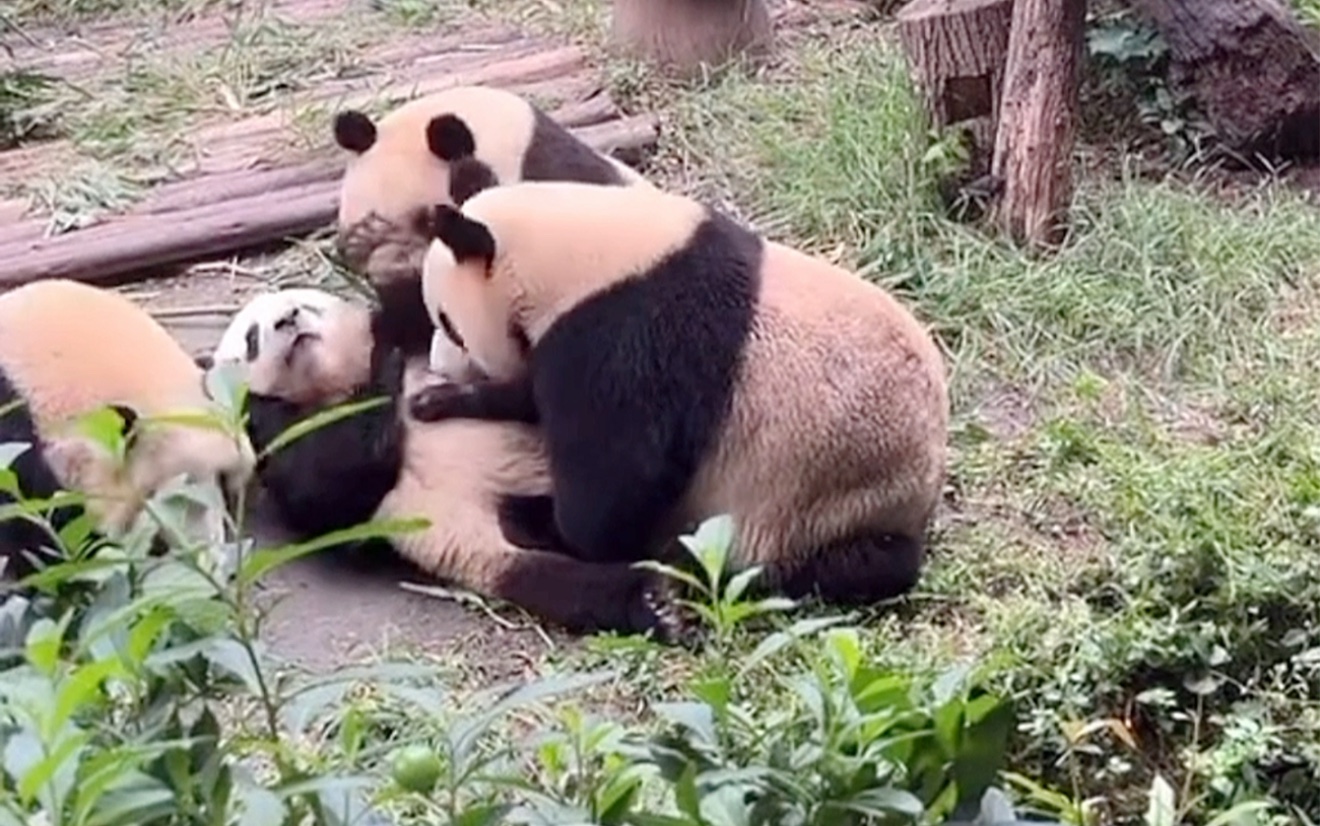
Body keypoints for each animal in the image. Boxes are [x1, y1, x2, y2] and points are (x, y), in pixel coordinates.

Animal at [213, 287, 681, 635]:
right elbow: (328, 488)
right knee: (556, 579)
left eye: (308, 306)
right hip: (490, 543)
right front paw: (385, 375)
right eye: (251, 337)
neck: (333, 381)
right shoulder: (268, 426)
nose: (289, 319)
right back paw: (652, 600)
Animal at [409, 179, 950, 604]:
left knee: (852, 565)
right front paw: (439, 401)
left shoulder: (630, 334)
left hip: (829, 499)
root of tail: (925, 487)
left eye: (449, 324)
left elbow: (615, 477)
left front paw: (553, 526)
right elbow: (532, 396)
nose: (438, 364)